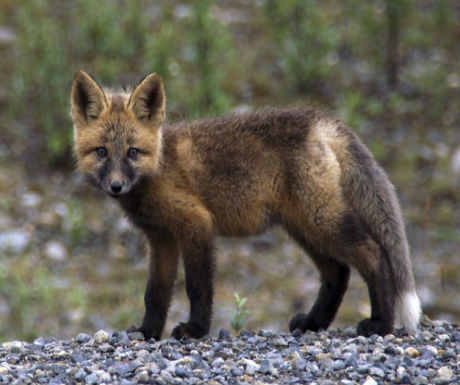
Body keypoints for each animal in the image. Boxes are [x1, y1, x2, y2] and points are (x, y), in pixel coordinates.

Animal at [71, 70, 420, 338]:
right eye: (101, 152)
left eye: (132, 152)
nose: (116, 186)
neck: (158, 166)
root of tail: (319, 120)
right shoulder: (161, 239)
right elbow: (155, 294)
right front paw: (148, 332)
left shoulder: (196, 222)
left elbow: (197, 287)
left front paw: (196, 330)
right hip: (303, 228)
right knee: (338, 272)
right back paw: (313, 322)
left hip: (320, 221)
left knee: (374, 253)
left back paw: (381, 323)